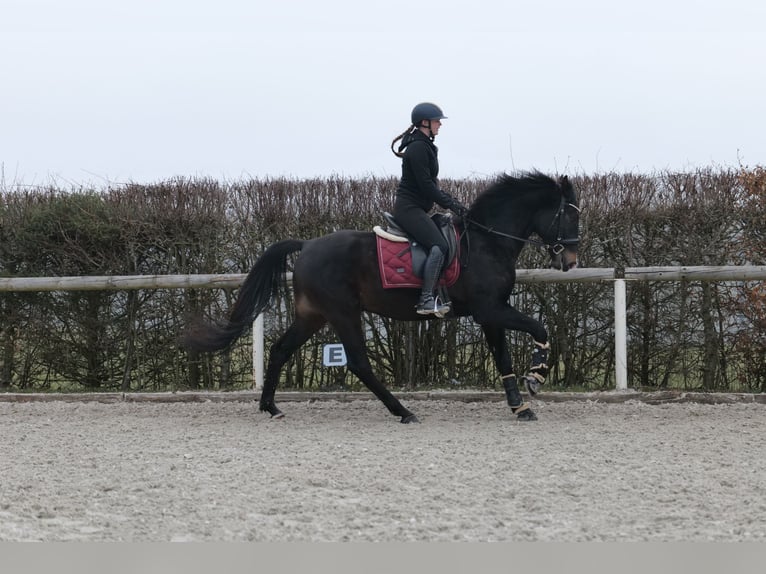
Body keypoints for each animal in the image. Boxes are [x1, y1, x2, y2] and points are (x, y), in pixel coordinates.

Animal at [183, 171, 580, 424]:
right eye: (568, 217)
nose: (571, 261)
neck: (487, 240)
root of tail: (307, 244)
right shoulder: (492, 309)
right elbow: (539, 329)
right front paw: (536, 378)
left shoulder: (490, 314)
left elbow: (503, 359)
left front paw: (520, 407)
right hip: (342, 313)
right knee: (359, 362)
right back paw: (403, 412)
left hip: (313, 315)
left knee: (281, 350)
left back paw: (272, 408)